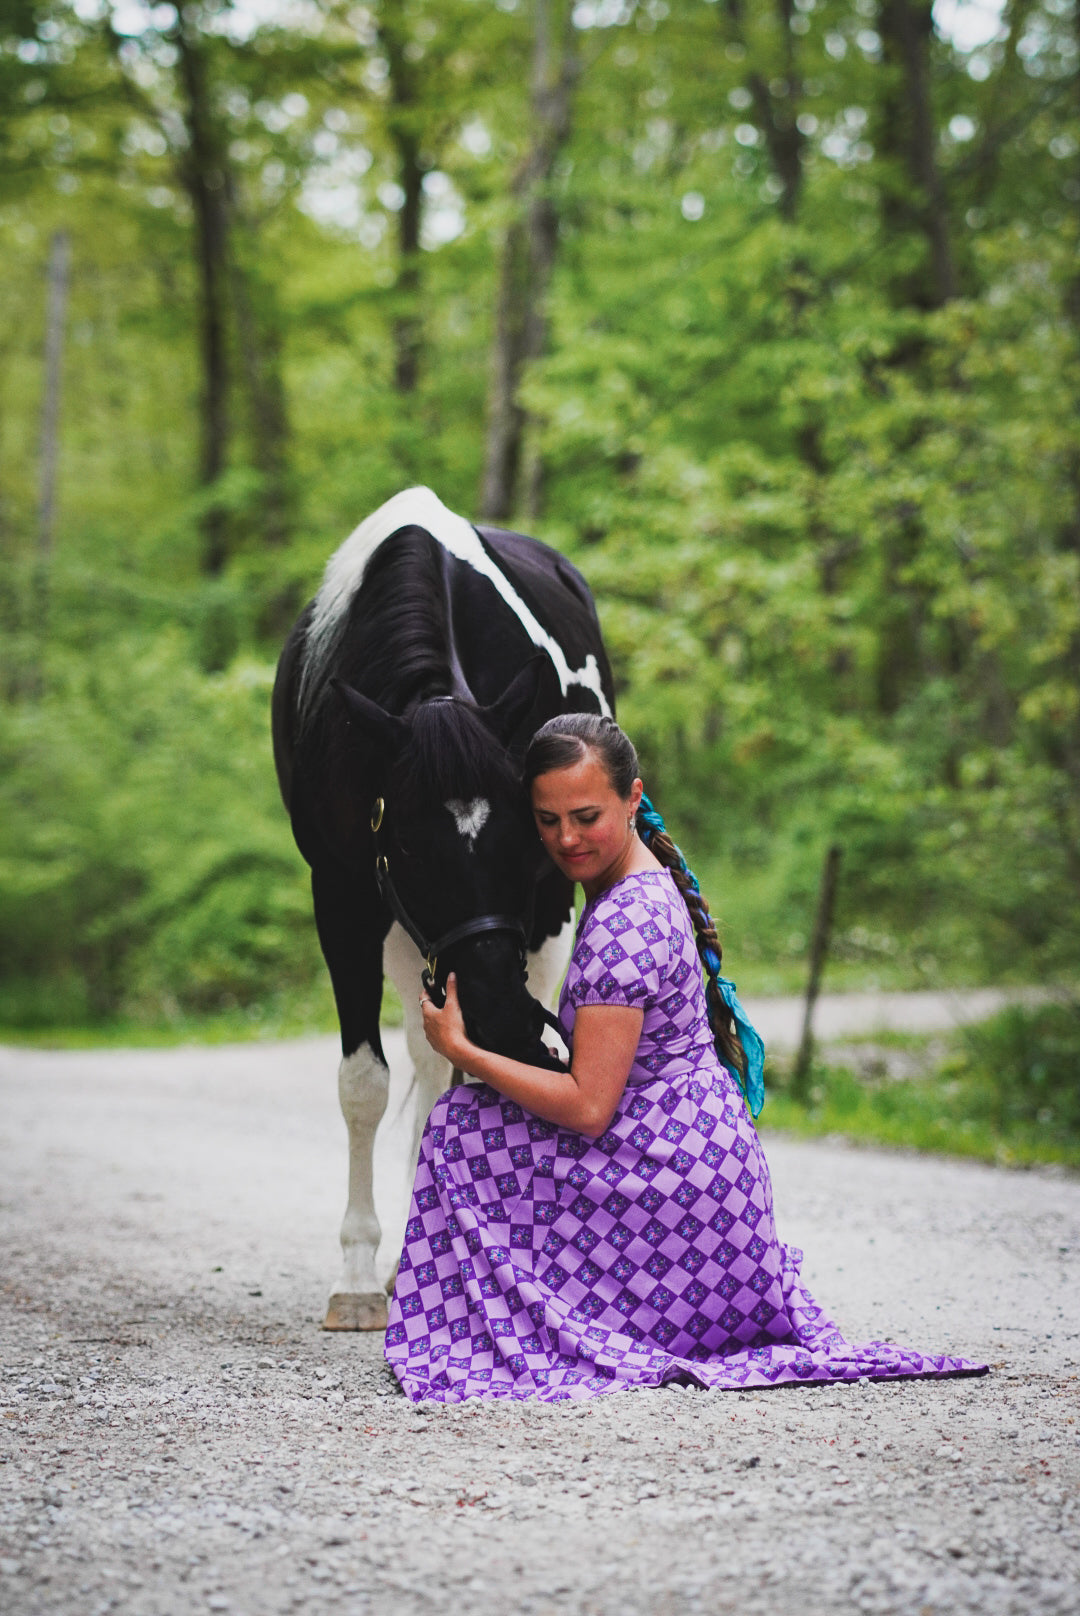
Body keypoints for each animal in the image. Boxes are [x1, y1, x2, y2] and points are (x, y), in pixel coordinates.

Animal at [272, 486, 615, 1330]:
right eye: (409, 843)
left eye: (531, 833)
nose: (498, 1006)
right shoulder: (346, 896)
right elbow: (364, 1084)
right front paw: (360, 1276)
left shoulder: (541, 906)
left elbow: (500, 1070)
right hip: (405, 938)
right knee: (427, 1063)